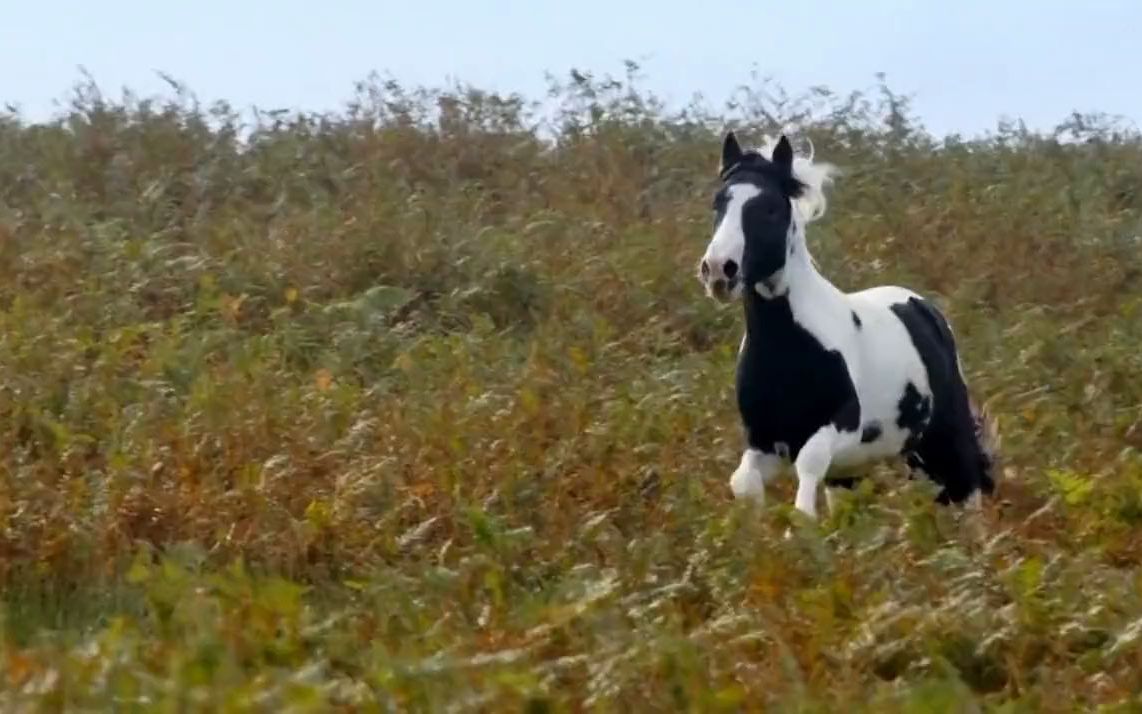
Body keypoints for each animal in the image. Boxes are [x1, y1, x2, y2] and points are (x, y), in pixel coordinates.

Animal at [689, 129, 995, 518]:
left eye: (770, 208)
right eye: (718, 203)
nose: (718, 270)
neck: (790, 348)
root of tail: (926, 310)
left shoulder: (843, 427)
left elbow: (808, 467)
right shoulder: (765, 441)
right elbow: (742, 483)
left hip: (942, 443)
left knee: (966, 495)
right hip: (865, 468)